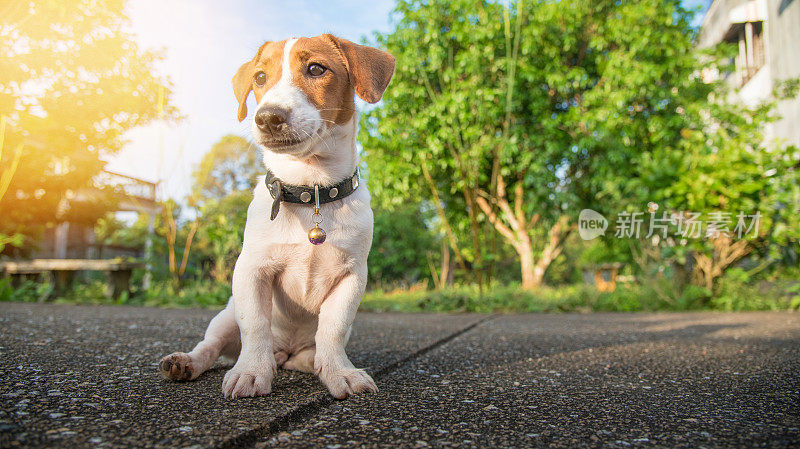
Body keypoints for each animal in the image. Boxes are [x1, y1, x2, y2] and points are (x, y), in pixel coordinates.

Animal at [158, 36, 396, 400]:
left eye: (316, 69)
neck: (311, 191)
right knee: (211, 347)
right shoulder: (251, 270)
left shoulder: (352, 277)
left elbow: (333, 328)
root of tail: (284, 350)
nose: (268, 117)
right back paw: (188, 362)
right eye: (259, 78)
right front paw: (252, 371)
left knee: (310, 351)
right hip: (225, 317)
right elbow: (255, 325)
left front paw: (339, 371)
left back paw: (309, 362)